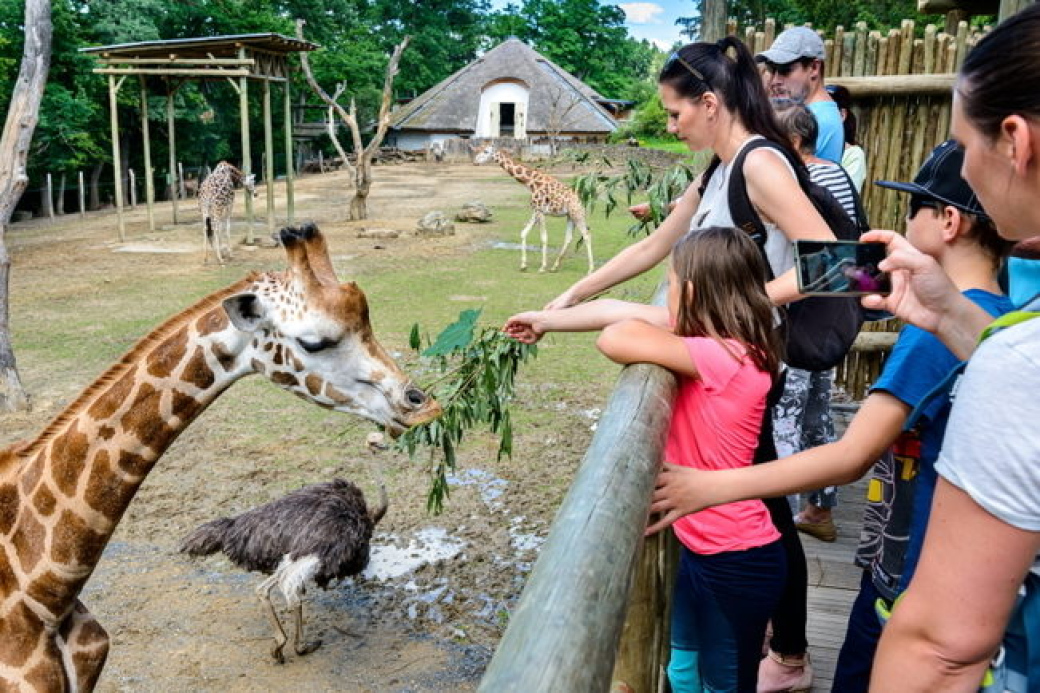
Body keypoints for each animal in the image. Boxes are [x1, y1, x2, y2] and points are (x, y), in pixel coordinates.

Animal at [472, 144, 594, 274]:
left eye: (486, 151)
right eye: (478, 150)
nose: (475, 162)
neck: (530, 182)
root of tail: (582, 200)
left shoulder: (540, 211)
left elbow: (544, 238)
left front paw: (542, 267)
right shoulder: (535, 210)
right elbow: (523, 233)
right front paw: (523, 265)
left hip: (577, 214)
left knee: (587, 235)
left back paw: (590, 269)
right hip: (570, 216)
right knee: (569, 238)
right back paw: (554, 267)